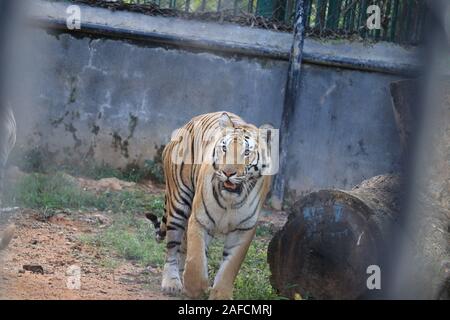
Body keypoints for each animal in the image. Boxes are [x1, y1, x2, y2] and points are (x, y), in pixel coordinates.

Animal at [148, 111, 276, 298]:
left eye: (246, 152)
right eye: (224, 148)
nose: (228, 172)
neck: (230, 200)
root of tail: (187, 124)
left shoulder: (244, 229)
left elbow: (230, 267)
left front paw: (220, 294)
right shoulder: (200, 219)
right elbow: (196, 261)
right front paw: (195, 288)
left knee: (182, 246)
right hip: (178, 203)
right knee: (173, 246)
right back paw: (172, 283)